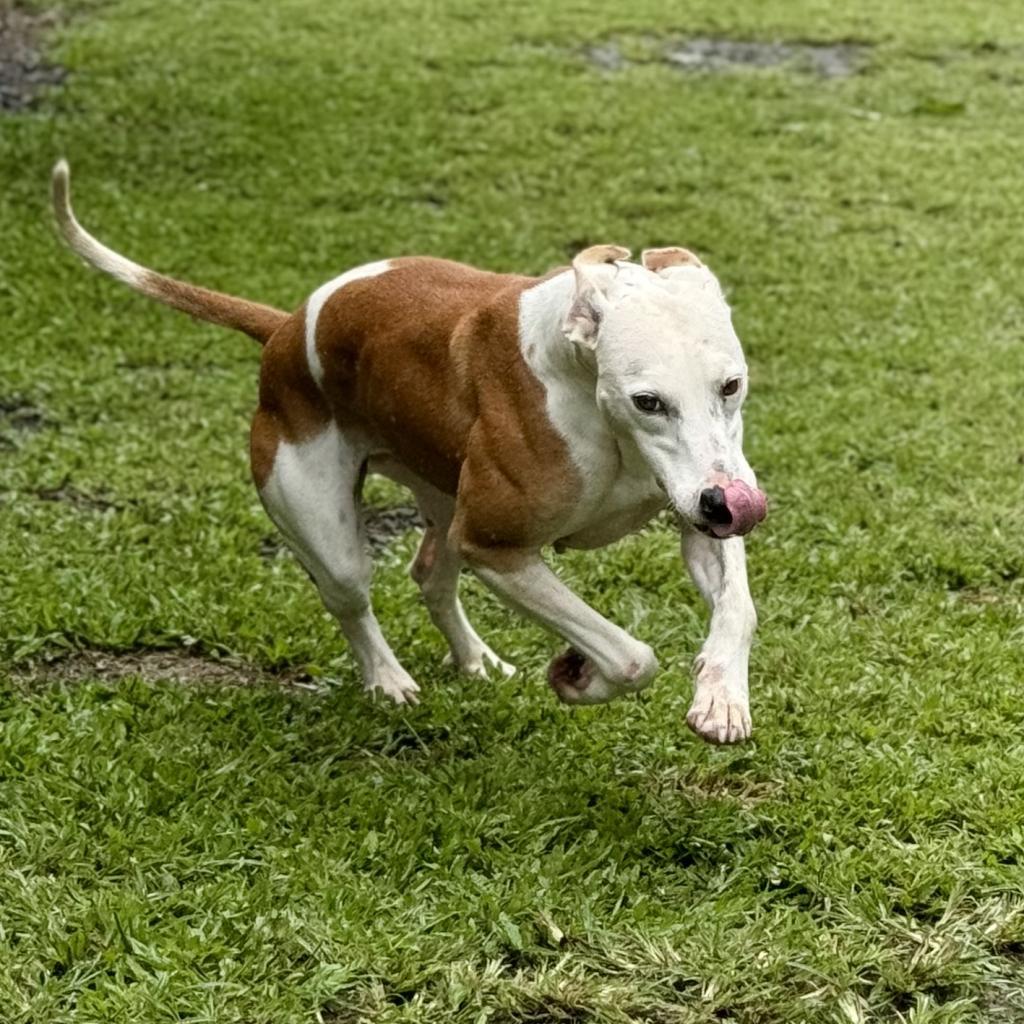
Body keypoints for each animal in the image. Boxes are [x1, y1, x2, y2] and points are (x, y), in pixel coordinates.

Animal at [51, 163, 765, 749]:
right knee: (350, 597)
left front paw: (720, 696)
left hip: (443, 497)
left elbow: (738, 606)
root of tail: (285, 328)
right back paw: (388, 680)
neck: (585, 386)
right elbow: (630, 655)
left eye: (731, 386)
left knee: (430, 575)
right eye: (648, 401)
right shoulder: (495, 546)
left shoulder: (697, 514)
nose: (733, 504)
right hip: (327, 522)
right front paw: (577, 674)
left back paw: (476, 659)